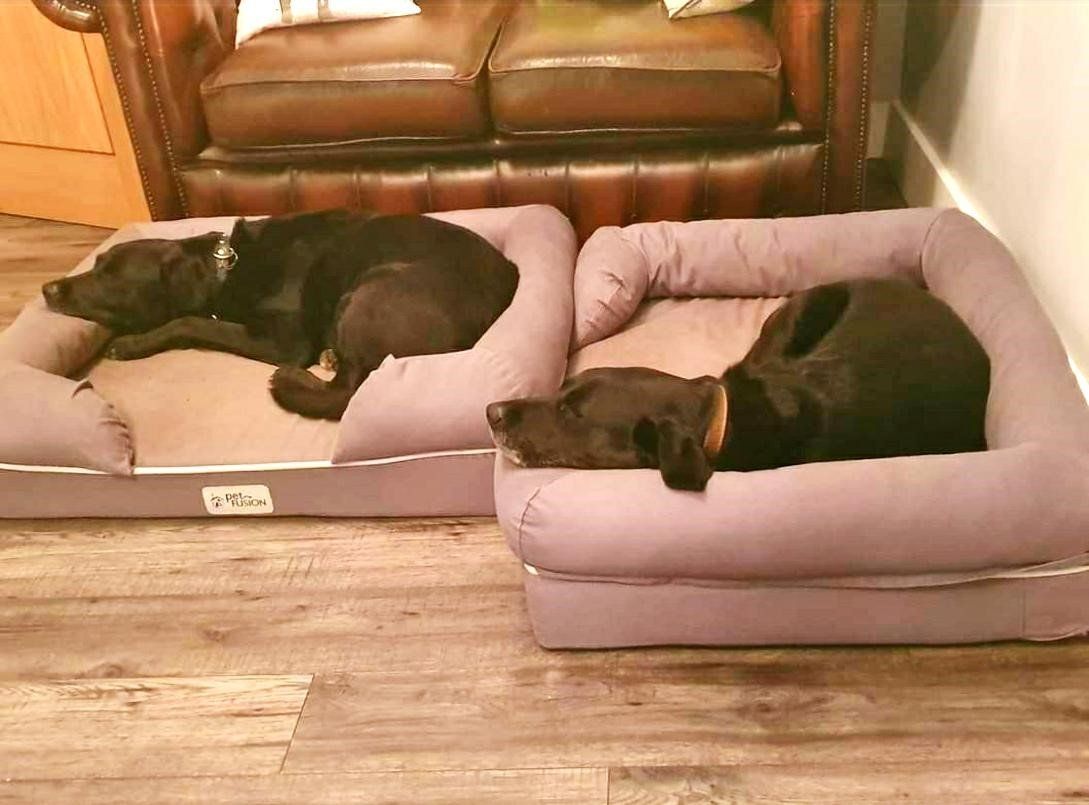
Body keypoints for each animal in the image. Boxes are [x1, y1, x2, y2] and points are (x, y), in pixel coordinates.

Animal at [42, 209, 518, 419]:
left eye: (110, 275)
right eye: (97, 262)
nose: (47, 288)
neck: (225, 268)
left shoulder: (284, 340)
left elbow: (188, 321)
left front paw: (132, 343)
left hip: (371, 289)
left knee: (346, 391)